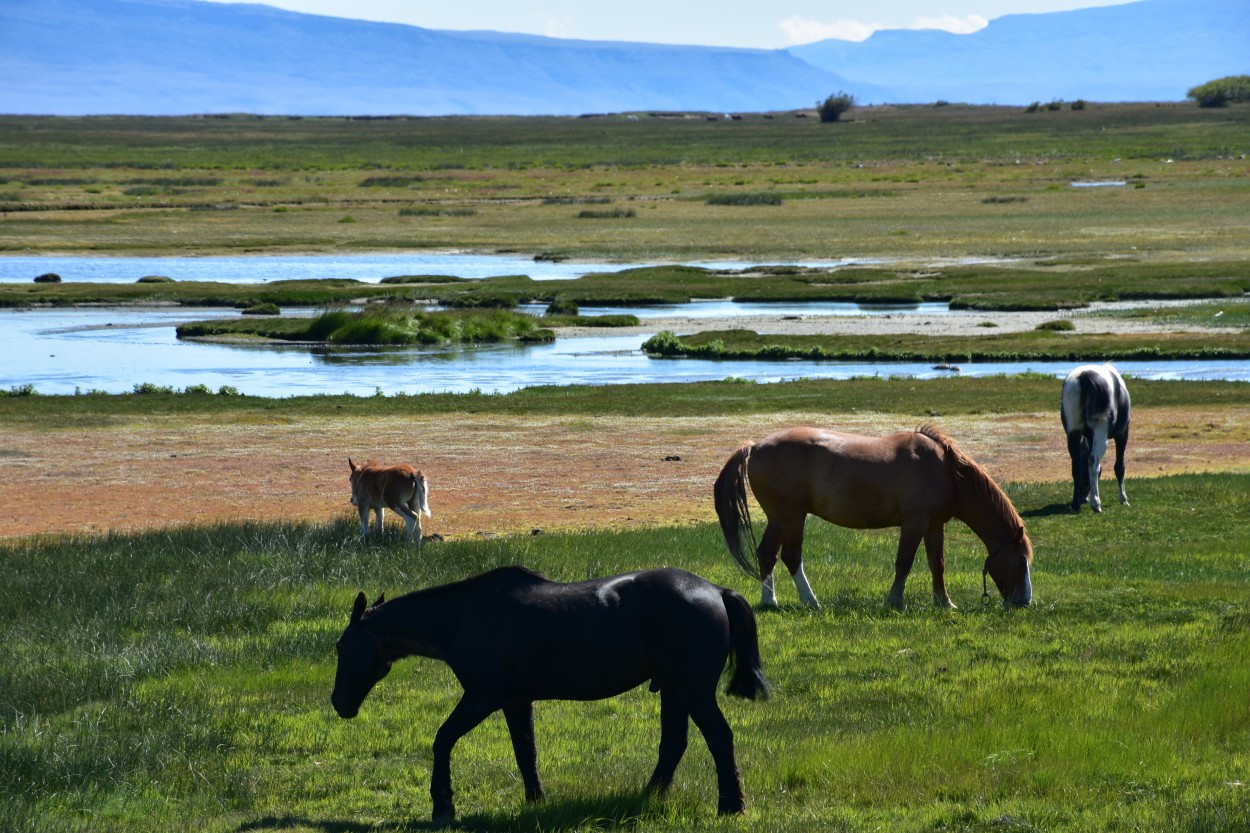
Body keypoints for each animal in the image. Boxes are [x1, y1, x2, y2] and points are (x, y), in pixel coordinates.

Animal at [327, 565, 765, 815]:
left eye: (341, 646)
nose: (339, 703)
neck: (464, 616)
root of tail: (716, 590)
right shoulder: (516, 701)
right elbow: (526, 752)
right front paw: (536, 800)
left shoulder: (482, 698)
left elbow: (443, 739)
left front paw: (443, 805)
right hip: (675, 690)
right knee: (673, 745)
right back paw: (648, 797)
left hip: (693, 690)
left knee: (719, 738)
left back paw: (731, 805)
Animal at [715, 425, 1035, 607]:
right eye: (1021, 561)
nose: (1024, 602)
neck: (946, 471)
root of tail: (754, 447)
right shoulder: (915, 522)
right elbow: (904, 563)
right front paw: (894, 601)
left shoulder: (934, 525)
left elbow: (937, 564)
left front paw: (945, 603)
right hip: (793, 518)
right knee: (791, 557)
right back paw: (810, 601)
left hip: (778, 519)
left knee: (766, 554)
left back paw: (770, 601)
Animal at [1060, 365, 1130, 512]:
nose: (1083, 497)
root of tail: (1084, 376)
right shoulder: (1122, 434)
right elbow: (1119, 466)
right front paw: (1123, 498)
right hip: (1101, 432)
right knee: (1093, 461)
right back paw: (1096, 503)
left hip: (1073, 432)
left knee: (1076, 465)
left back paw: (1075, 504)